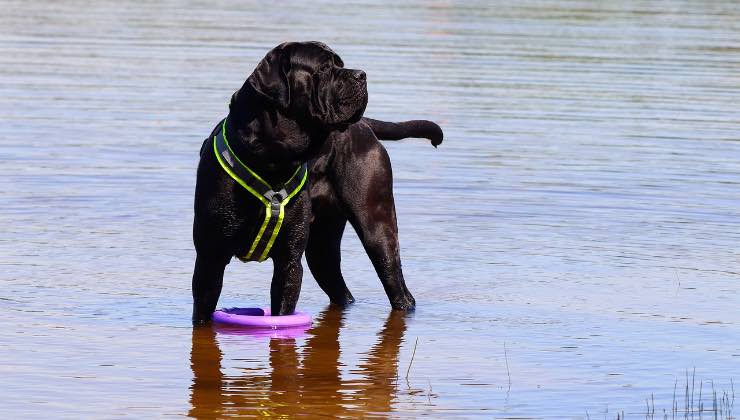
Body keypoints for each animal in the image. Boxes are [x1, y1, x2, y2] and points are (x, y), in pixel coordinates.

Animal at [194, 41, 442, 324]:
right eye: (323, 68)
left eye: (341, 64)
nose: (361, 74)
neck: (272, 160)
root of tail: (365, 126)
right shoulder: (209, 259)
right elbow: (202, 317)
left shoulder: (289, 262)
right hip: (322, 247)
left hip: (377, 228)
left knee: (397, 286)